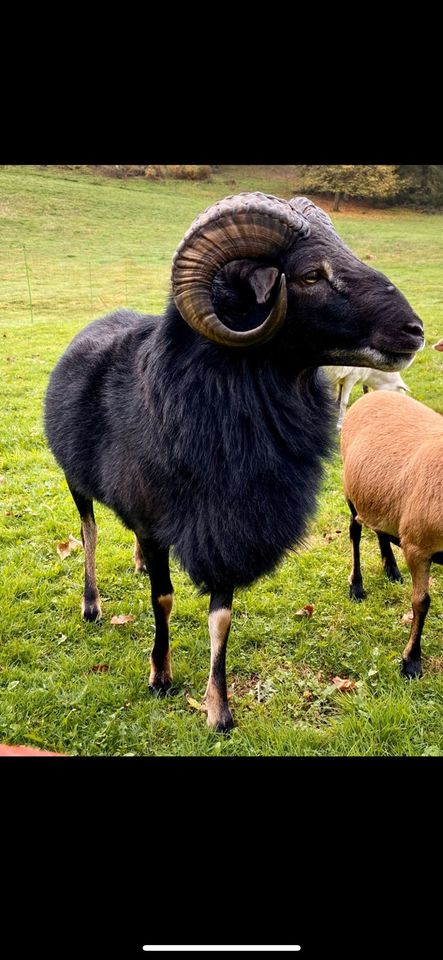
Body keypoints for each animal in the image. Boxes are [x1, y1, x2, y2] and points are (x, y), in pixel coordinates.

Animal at [342, 394, 442, 680]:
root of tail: (371, 394)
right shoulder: (418, 546)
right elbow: (421, 602)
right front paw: (411, 662)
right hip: (351, 492)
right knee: (355, 533)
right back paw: (357, 586)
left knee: (379, 529)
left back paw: (392, 569)